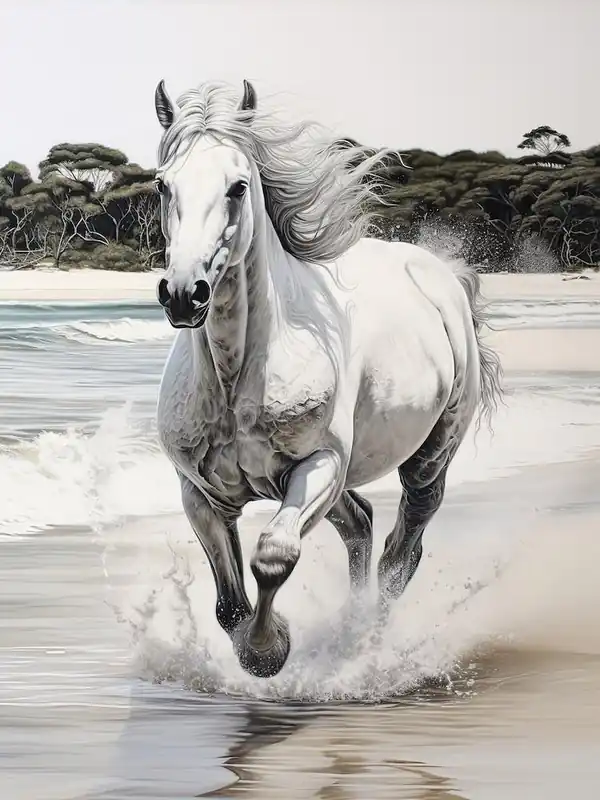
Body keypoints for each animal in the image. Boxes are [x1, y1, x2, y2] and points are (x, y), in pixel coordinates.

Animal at [153, 78, 502, 679]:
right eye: (162, 184)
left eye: (237, 187)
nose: (183, 294)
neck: (237, 379)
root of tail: (443, 275)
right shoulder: (200, 493)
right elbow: (229, 604)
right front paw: (259, 646)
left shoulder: (319, 464)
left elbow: (273, 557)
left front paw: (269, 650)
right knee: (360, 523)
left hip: (427, 460)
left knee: (402, 551)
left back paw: (362, 644)